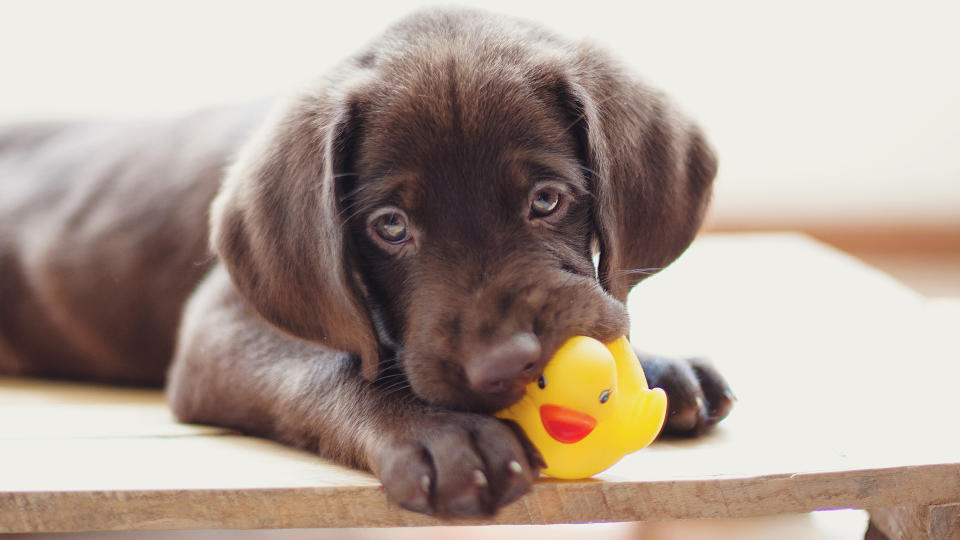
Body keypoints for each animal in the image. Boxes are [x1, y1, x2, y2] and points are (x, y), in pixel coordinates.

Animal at [1, 7, 736, 516]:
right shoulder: (221, 325)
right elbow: (330, 366)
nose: (506, 365)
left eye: (547, 200)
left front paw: (663, 365)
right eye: (390, 227)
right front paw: (443, 433)